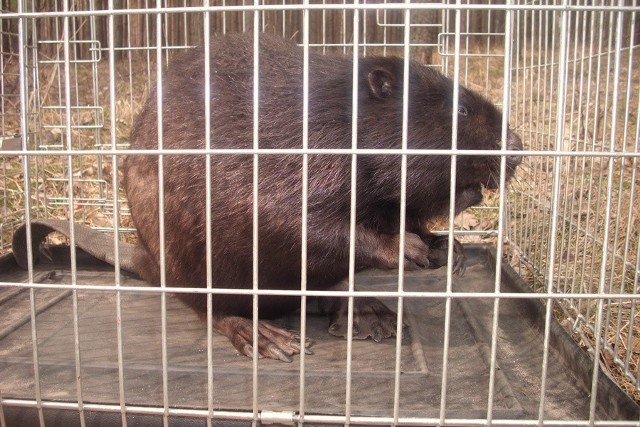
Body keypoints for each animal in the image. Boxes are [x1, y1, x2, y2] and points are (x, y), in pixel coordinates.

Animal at [122, 31, 524, 362]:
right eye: (461, 109)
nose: (518, 147)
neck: (342, 123)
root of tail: (142, 259)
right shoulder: (292, 156)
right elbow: (286, 222)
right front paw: (406, 249)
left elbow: (405, 217)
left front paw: (448, 249)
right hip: (184, 259)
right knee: (213, 308)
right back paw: (265, 337)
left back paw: (371, 314)